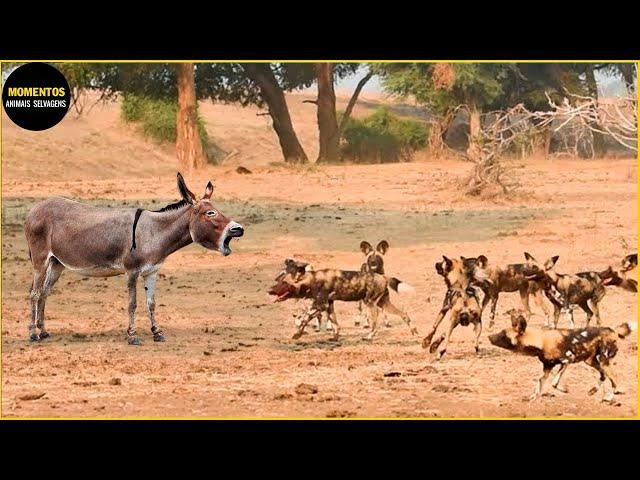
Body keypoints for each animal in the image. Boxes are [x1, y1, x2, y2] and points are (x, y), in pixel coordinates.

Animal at [490, 308, 636, 402]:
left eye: (503, 334)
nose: (489, 337)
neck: (540, 342)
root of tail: (613, 330)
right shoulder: (547, 368)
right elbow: (539, 384)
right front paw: (532, 398)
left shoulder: (567, 360)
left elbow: (554, 383)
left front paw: (564, 390)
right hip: (591, 361)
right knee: (603, 375)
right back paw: (593, 391)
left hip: (602, 359)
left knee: (614, 377)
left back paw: (610, 397)